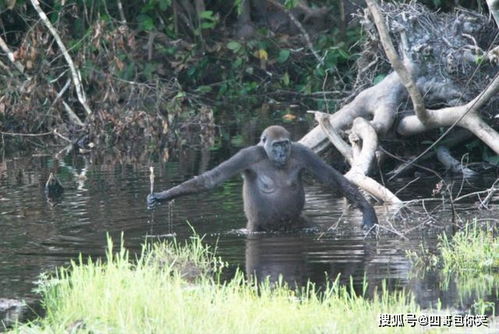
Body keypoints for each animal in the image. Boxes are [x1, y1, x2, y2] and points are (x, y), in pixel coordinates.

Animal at [148, 125, 378, 232]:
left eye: (284, 144)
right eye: (276, 145)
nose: (281, 153)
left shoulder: (302, 152)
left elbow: (332, 178)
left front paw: (368, 212)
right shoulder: (246, 155)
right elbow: (211, 179)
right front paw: (164, 196)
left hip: (297, 223)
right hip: (255, 228)